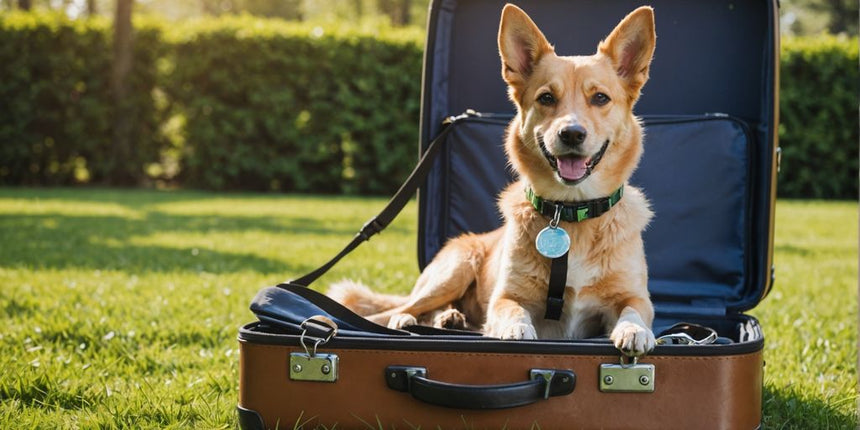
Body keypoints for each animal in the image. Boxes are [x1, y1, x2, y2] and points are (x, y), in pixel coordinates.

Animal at [330, 4, 660, 356]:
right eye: (546, 98)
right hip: (454, 269)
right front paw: (516, 328)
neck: (571, 213)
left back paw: (450, 319)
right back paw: (414, 320)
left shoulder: (635, 296)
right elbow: (510, 309)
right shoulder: (506, 296)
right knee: (399, 310)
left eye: (600, 98)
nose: (571, 133)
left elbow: (634, 310)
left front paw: (634, 330)